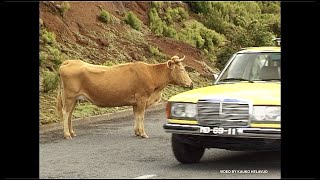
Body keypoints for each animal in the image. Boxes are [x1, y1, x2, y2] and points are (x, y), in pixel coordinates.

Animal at [57, 55, 192, 139]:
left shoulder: (136, 102)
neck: (151, 74)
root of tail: (69, 61)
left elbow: (136, 116)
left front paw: (137, 131)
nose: (191, 83)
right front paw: (143, 133)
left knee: (70, 114)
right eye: (181, 69)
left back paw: (72, 132)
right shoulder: (142, 98)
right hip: (69, 96)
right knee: (66, 113)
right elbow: (141, 116)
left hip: (74, 98)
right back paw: (67, 134)